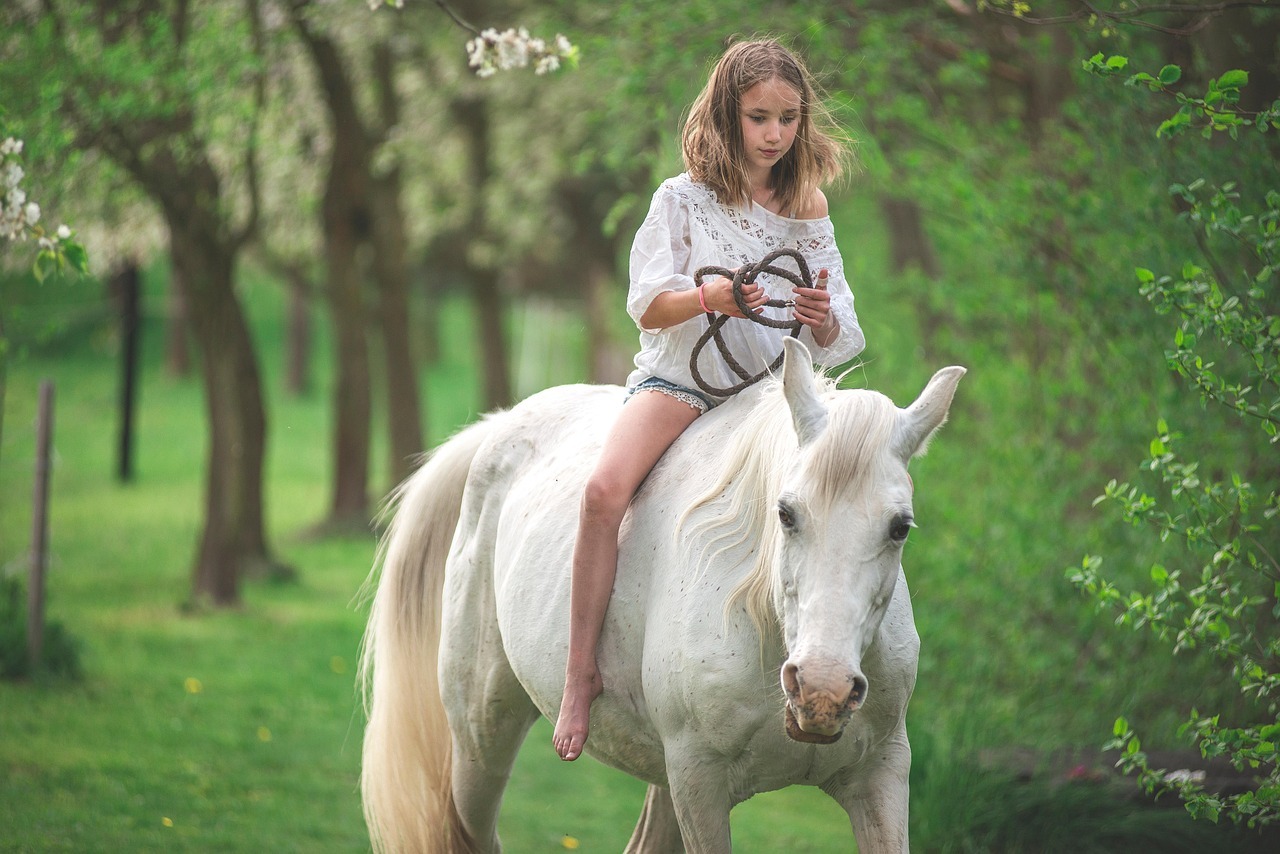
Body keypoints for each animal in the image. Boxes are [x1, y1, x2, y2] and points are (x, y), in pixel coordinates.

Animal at [359, 338, 965, 853]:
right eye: (787, 513)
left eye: (900, 527)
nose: (823, 689)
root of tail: (502, 425)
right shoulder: (699, 785)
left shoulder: (881, 775)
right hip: (480, 739)